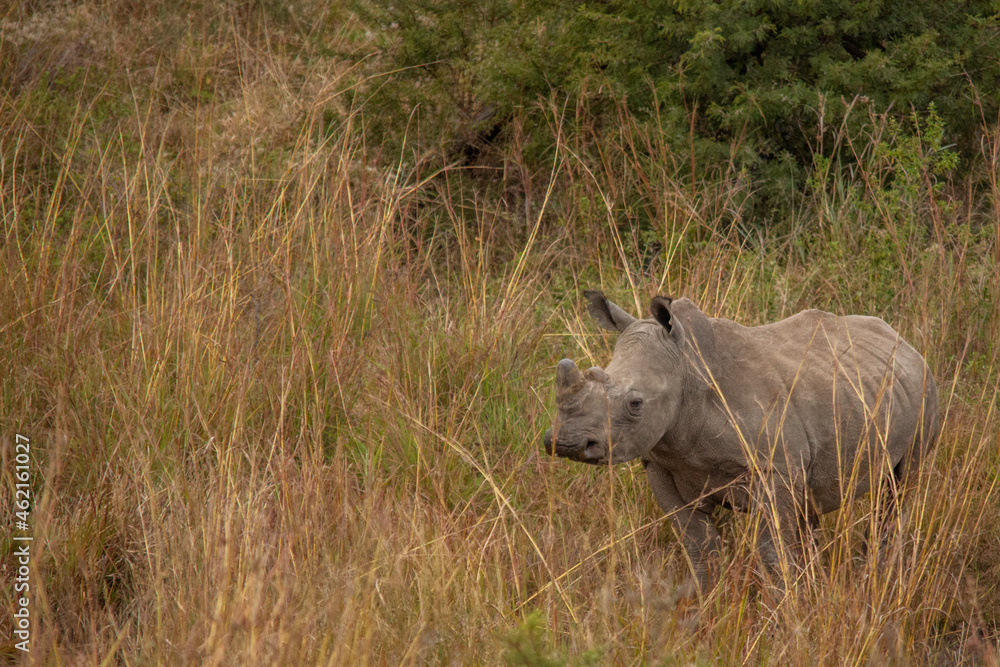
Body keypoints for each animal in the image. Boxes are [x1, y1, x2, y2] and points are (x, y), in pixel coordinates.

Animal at [543, 291, 939, 594]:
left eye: (636, 403)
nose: (565, 442)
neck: (687, 373)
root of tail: (901, 339)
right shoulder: (661, 464)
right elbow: (698, 544)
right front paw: (706, 604)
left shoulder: (772, 470)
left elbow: (773, 550)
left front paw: (784, 611)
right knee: (811, 503)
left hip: (924, 389)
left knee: (899, 488)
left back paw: (878, 571)